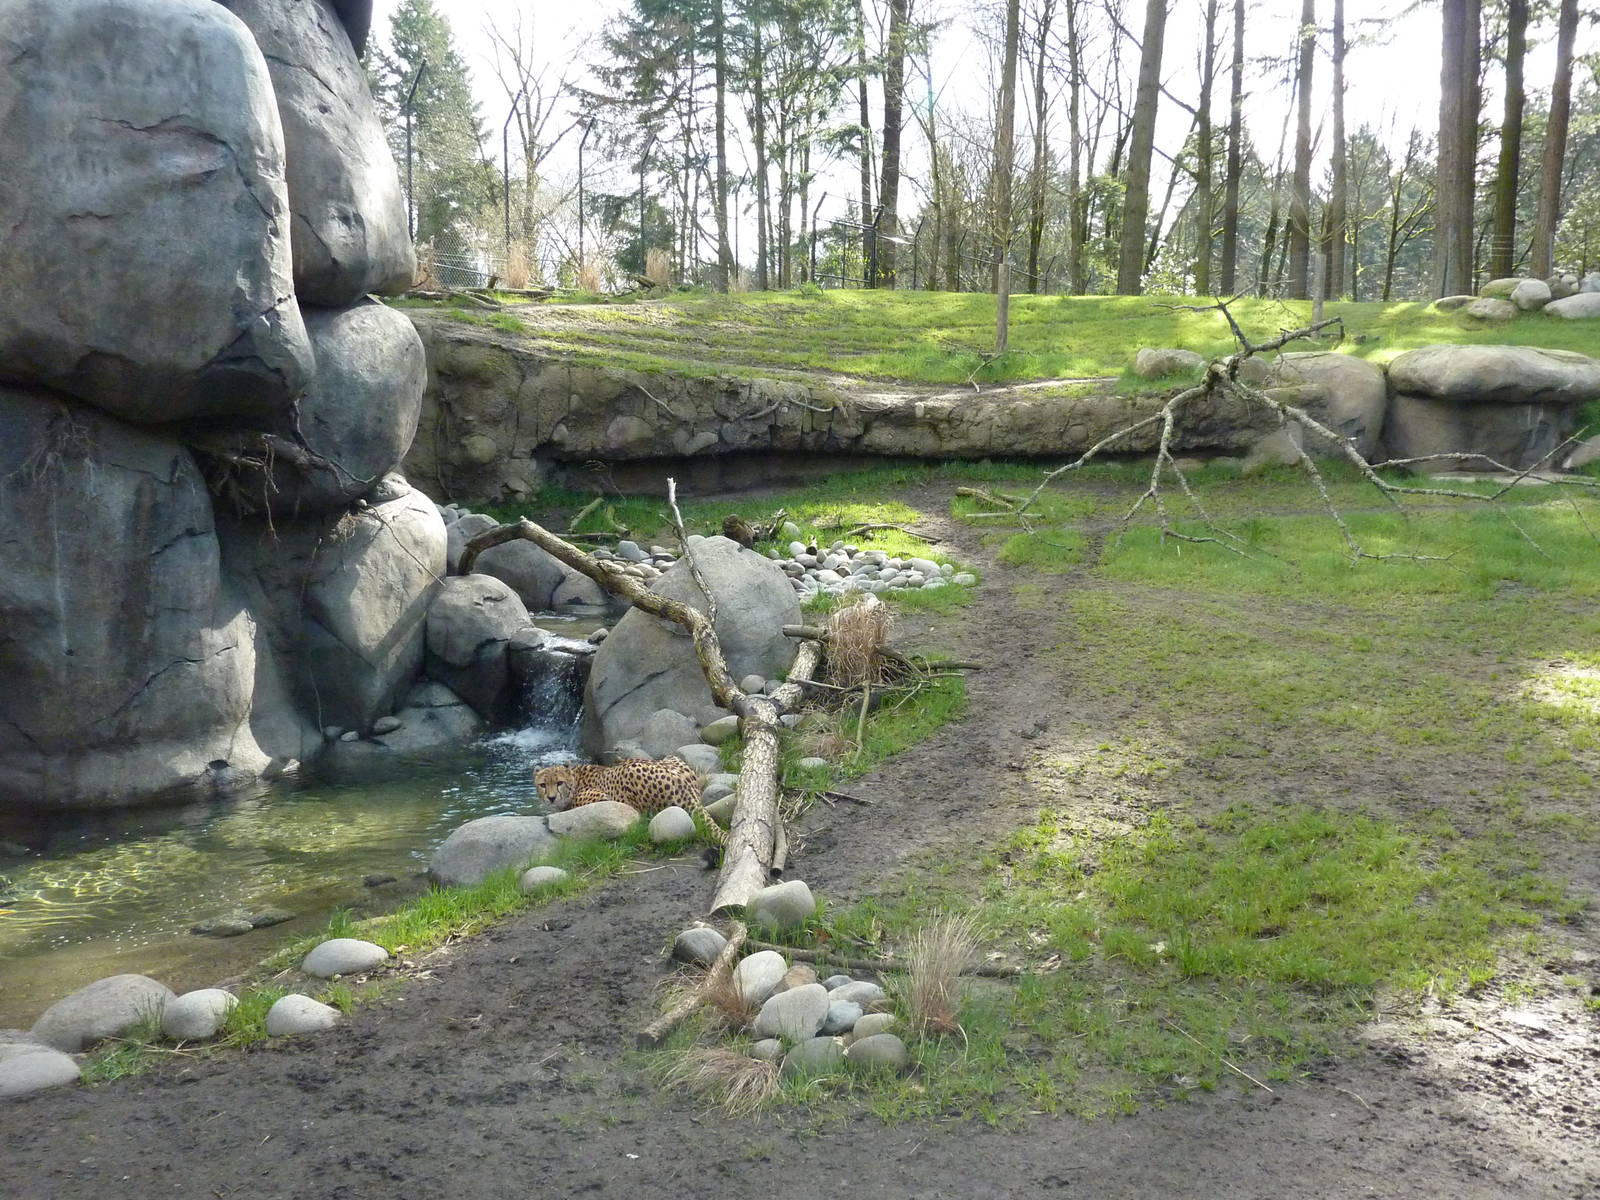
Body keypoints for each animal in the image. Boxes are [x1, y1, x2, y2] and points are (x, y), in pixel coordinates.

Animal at [534, 757, 725, 846]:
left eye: (559, 783)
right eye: (543, 785)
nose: (551, 798)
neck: (575, 779)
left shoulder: (602, 797)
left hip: (630, 771)